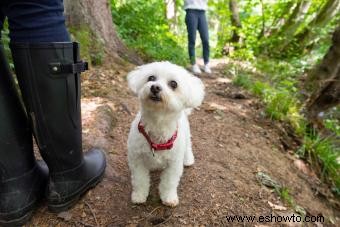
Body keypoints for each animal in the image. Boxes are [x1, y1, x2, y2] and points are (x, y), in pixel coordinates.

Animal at [126, 61, 203, 207]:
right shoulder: (137, 159)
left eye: (173, 84)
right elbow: (140, 180)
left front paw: (169, 198)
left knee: (188, 147)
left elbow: (169, 182)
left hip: (186, 137)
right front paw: (139, 196)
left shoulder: (174, 163)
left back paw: (188, 160)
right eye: (151, 78)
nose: (155, 87)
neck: (158, 123)